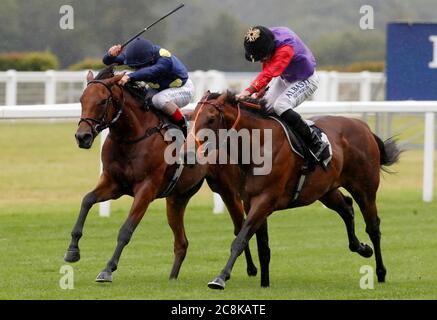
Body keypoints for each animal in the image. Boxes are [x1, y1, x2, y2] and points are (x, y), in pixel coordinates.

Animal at [61, 66, 260, 282]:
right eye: (82, 100)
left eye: (103, 101)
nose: (82, 137)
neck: (132, 137)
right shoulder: (113, 183)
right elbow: (87, 200)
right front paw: (72, 250)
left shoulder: (146, 189)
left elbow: (126, 230)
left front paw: (107, 269)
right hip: (177, 198)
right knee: (182, 243)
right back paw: (172, 277)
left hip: (226, 189)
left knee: (239, 226)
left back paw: (249, 269)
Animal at [186, 90, 400, 290]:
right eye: (192, 116)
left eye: (211, 118)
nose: (188, 154)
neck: (258, 145)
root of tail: (363, 126)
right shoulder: (250, 201)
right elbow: (262, 246)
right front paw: (264, 283)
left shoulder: (265, 200)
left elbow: (241, 239)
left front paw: (220, 278)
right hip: (325, 190)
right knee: (346, 209)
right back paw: (362, 248)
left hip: (364, 188)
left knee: (373, 226)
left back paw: (381, 272)